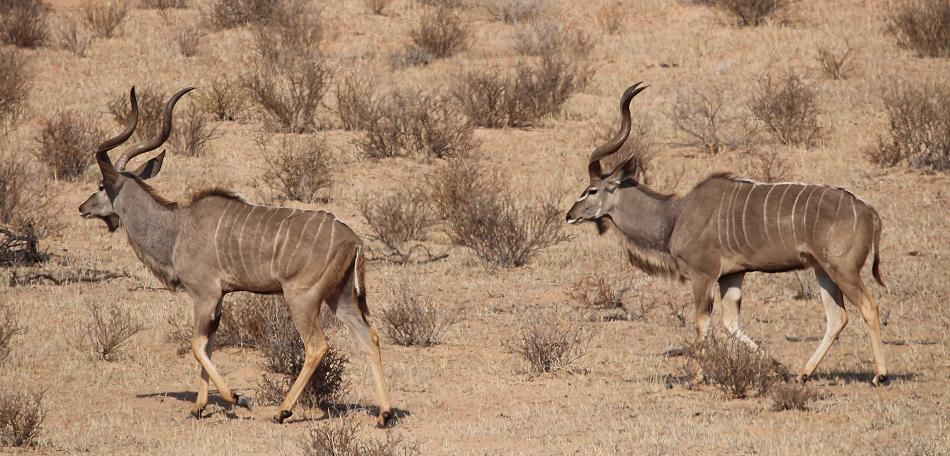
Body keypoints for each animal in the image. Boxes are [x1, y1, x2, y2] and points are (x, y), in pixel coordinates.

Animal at [78, 88, 396, 424]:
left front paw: (238, 398)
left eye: (100, 185)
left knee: (317, 345)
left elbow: (196, 345)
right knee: (370, 337)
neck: (178, 227)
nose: (82, 207)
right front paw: (199, 406)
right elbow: (208, 345)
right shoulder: (218, 298)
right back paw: (384, 414)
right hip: (342, 297)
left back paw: (283, 410)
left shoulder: (205, 294)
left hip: (302, 298)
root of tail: (354, 240)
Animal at [568, 83, 888, 384]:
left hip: (842, 269)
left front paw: (697, 377)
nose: (570, 214)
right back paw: (803, 373)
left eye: (591, 190)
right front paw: (778, 368)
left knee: (869, 306)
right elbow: (731, 324)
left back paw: (880, 375)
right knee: (837, 317)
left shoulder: (703, 275)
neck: (676, 216)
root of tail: (869, 211)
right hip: (822, 269)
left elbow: (702, 322)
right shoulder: (732, 276)